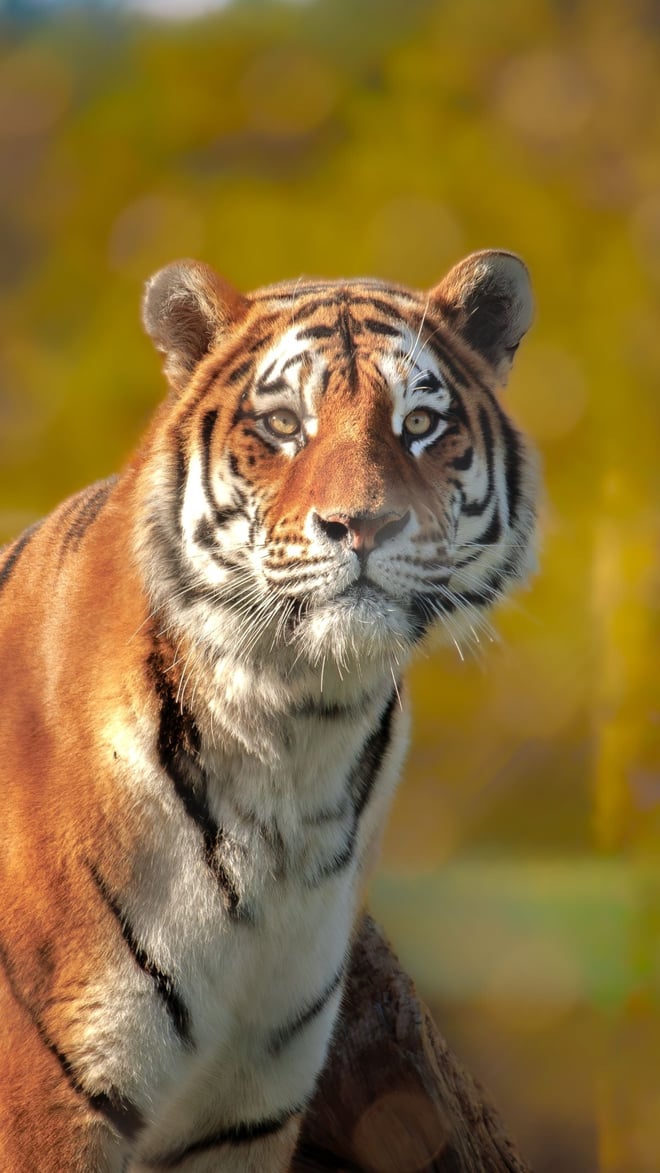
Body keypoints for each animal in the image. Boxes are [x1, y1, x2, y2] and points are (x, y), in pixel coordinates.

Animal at [0, 249, 537, 1172]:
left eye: (421, 422)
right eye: (285, 424)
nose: (364, 524)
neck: (294, 730)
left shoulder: (245, 1110)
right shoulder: (47, 1100)